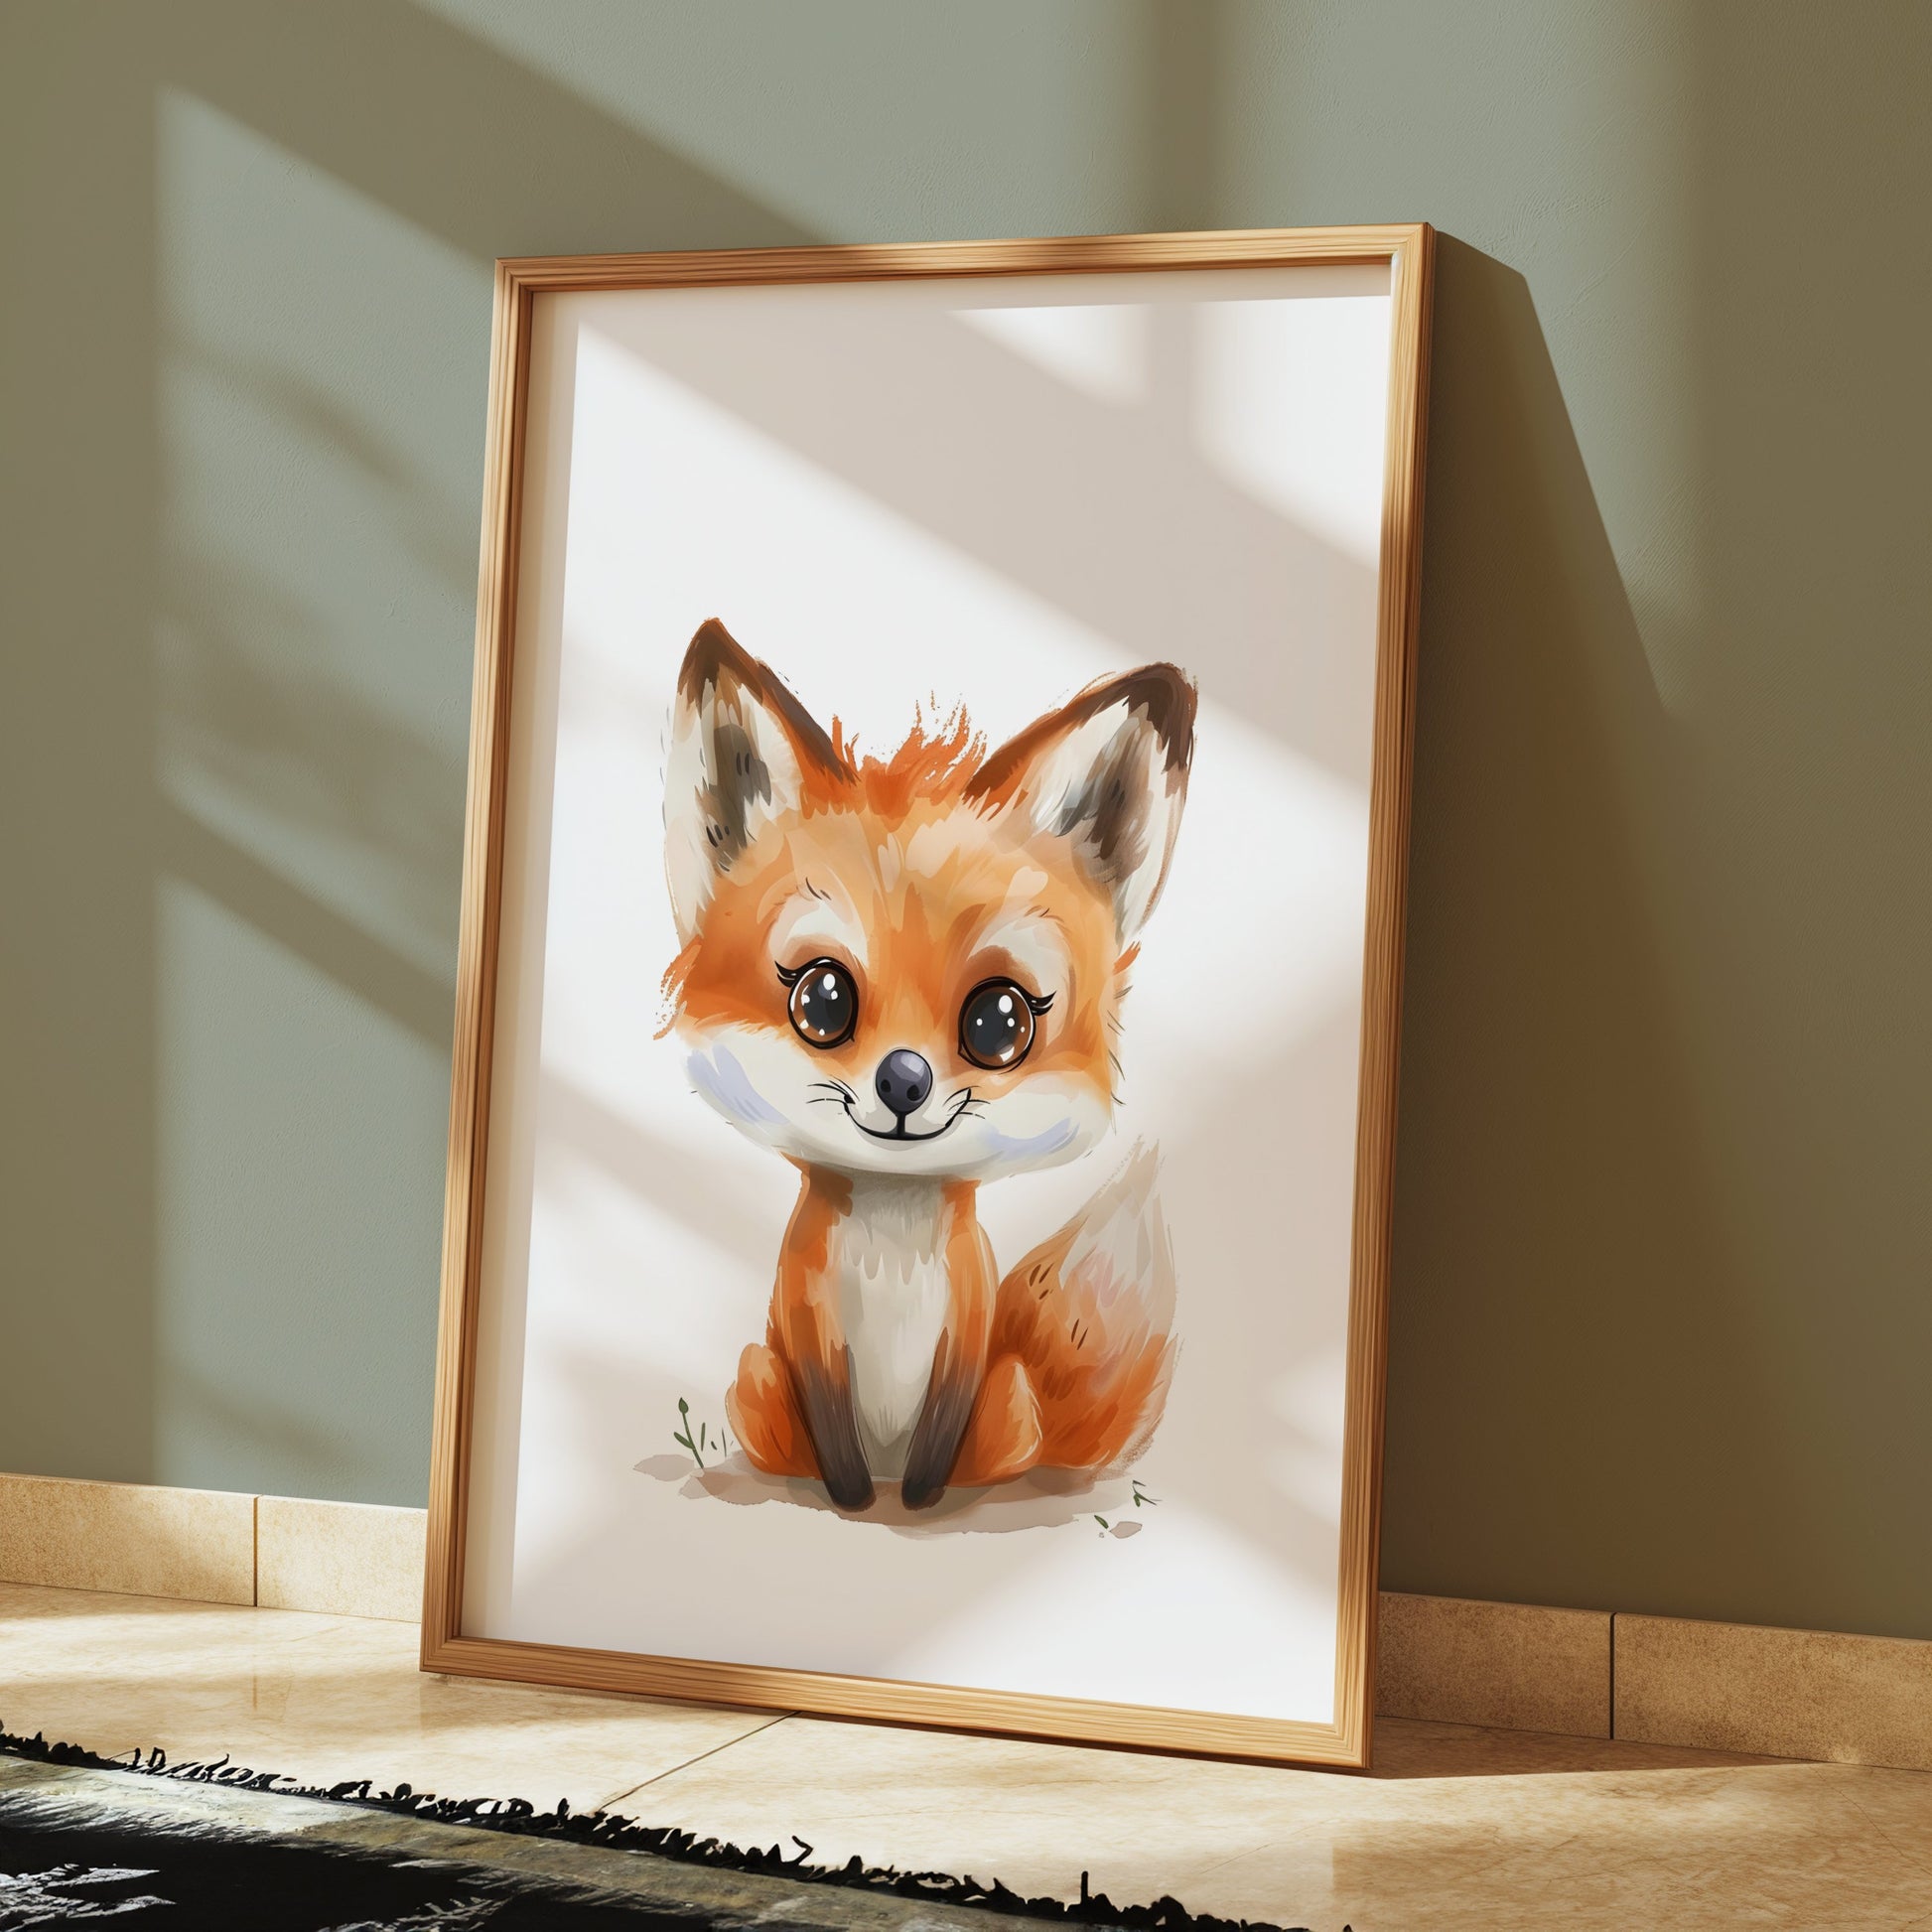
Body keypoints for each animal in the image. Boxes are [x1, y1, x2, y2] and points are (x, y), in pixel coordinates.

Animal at [661, 618, 1195, 1513]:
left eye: (999, 1021)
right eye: (823, 1001)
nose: (903, 1081)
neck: (891, 1245)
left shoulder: (967, 1328)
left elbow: (938, 1434)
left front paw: (917, 1501)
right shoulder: (806, 1322)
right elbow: (834, 1432)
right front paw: (851, 1499)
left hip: (1009, 1399)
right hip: (757, 1381)